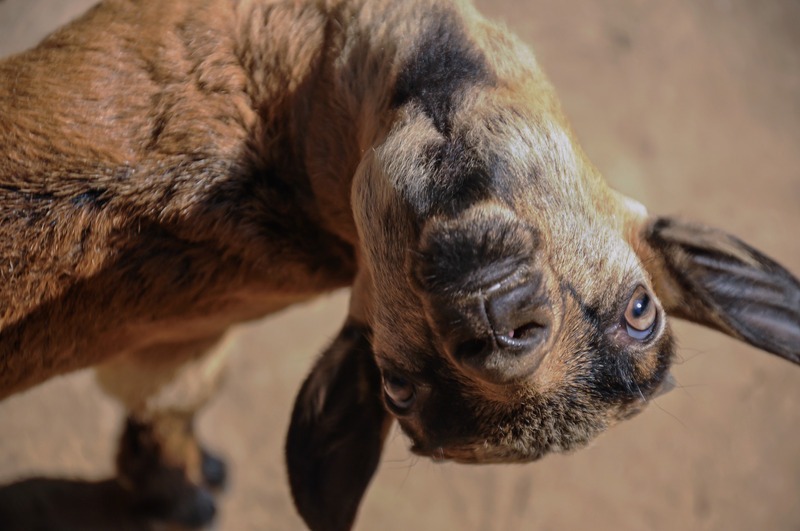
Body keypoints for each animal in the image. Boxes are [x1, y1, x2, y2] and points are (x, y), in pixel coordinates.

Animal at [1, 0, 798, 529]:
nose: (498, 318)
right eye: (400, 388)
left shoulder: (183, 335)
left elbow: (165, 394)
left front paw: (182, 490)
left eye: (640, 310)